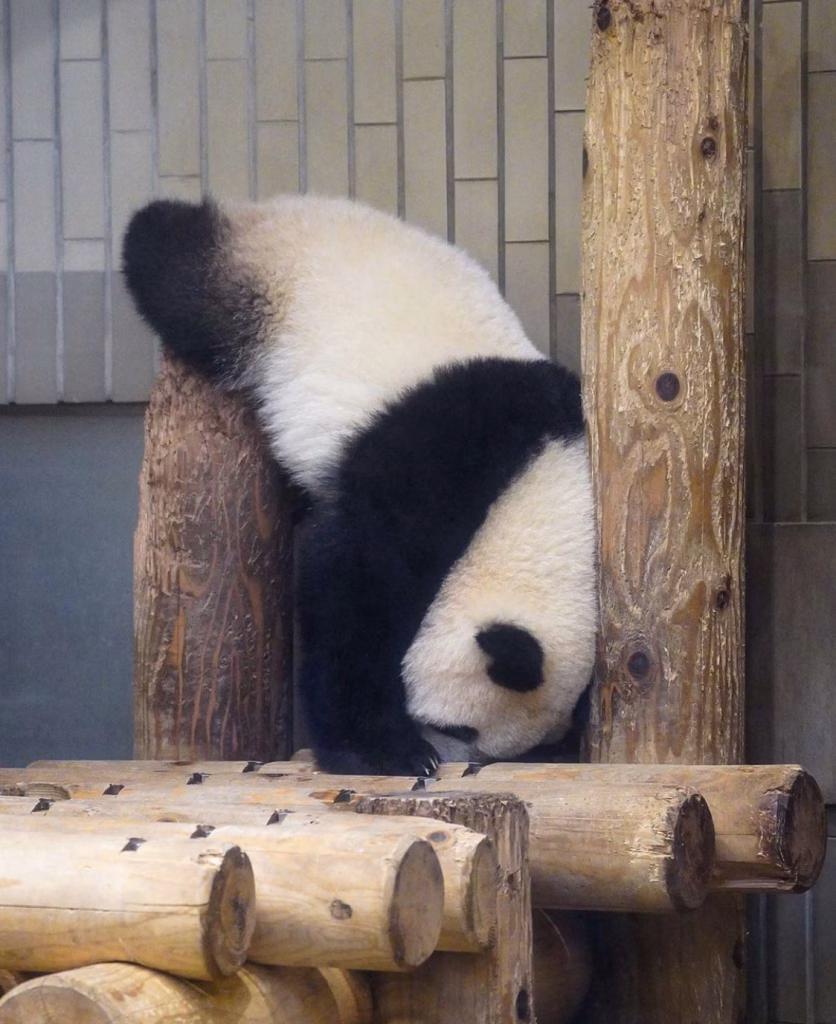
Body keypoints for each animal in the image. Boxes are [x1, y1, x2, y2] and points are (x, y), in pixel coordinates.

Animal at [123, 194, 597, 776]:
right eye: (457, 728)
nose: (457, 759)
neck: (537, 490)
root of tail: (288, 205)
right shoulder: (435, 462)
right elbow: (353, 588)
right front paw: (387, 751)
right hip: (260, 282)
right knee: (174, 267)